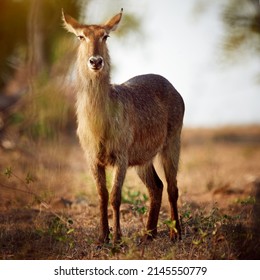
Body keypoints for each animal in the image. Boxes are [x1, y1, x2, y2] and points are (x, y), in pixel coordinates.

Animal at [62, 8, 185, 244]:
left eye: (105, 36)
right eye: (81, 36)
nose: (95, 61)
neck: (99, 124)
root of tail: (173, 87)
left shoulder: (121, 156)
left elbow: (115, 197)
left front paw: (117, 238)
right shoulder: (93, 159)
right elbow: (101, 196)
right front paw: (102, 237)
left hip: (171, 144)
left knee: (173, 187)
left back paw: (176, 233)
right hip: (143, 159)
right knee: (157, 187)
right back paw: (148, 234)